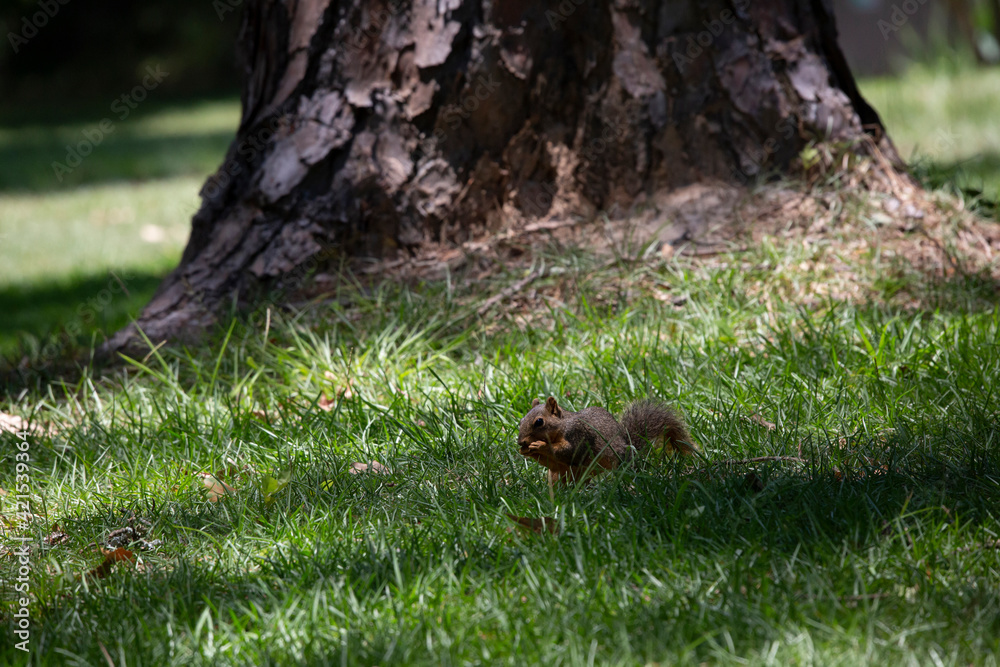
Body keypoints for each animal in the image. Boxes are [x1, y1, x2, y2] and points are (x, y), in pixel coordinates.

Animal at [518, 396, 696, 485]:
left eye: (539, 422)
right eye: (521, 420)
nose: (520, 442)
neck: (562, 426)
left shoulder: (578, 434)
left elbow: (570, 452)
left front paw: (540, 445)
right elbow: (551, 462)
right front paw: (526, 451)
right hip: (560, 476)